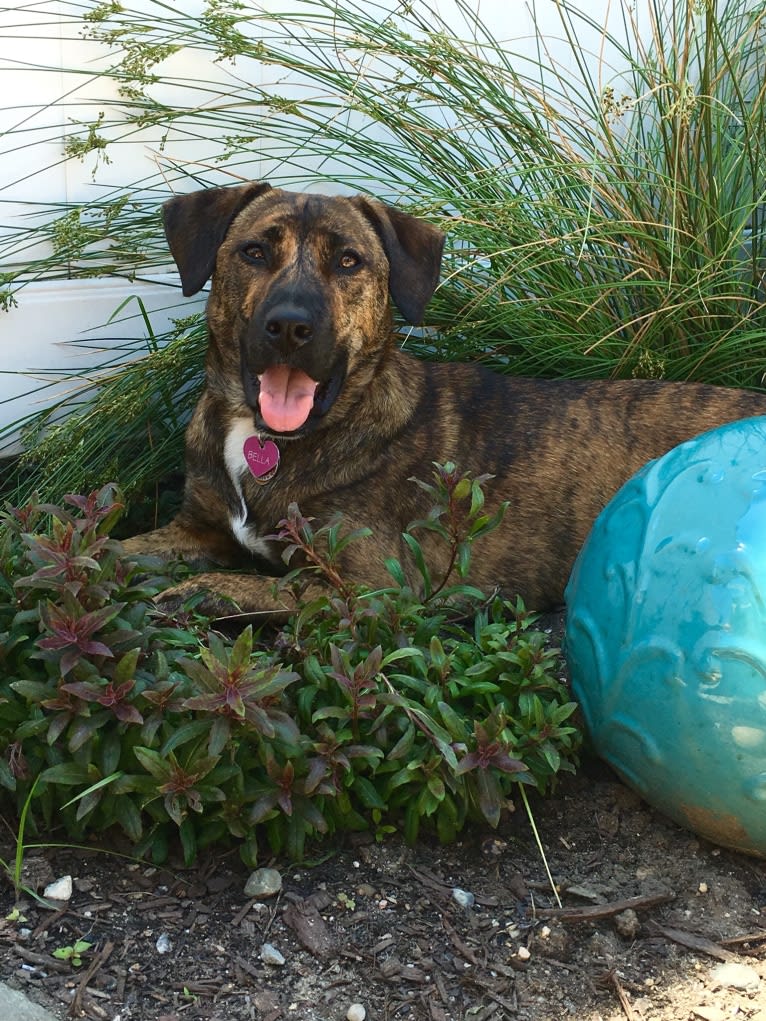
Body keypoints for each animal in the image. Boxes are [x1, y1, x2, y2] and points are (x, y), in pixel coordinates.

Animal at [123, 181, 766, 612]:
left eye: (349, 261)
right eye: (254, 252)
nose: (289, 326)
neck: (269, 439)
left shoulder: (369, 586)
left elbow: (237, 585)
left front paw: (185, 593)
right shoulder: (195, 529)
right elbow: (114, 545)